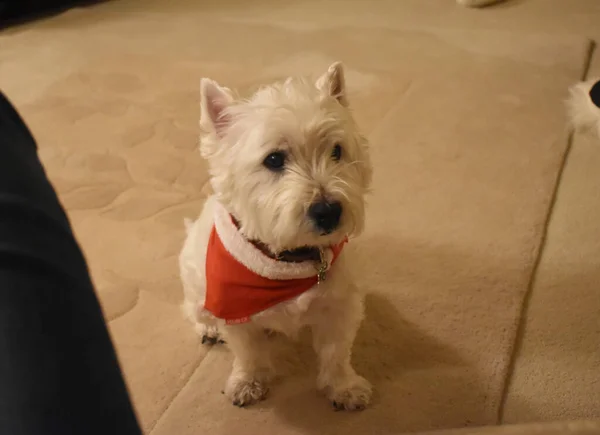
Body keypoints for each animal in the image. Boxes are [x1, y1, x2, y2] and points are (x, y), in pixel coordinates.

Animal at [180, 62, 372, 412]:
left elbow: (336, 353)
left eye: (336, 150)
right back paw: (208, 328)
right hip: (196, 283)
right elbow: (249, 354)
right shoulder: (236, 314)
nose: (328, 211)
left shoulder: (339, 306)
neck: (289, 259)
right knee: (192, 308)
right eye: (273, 159)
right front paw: (247, 384)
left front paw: (345, 388)